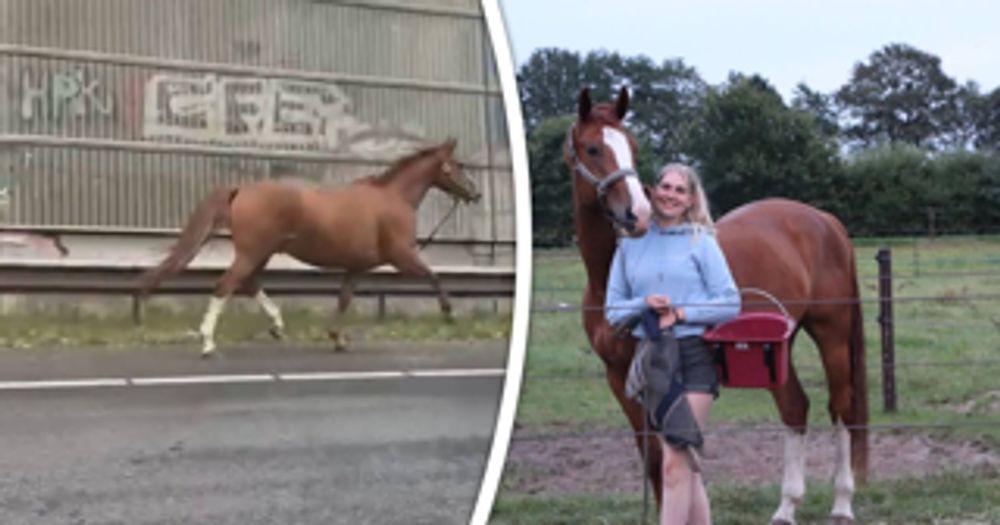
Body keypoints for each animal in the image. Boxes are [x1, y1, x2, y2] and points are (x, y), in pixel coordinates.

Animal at [138, 138, 480, 356]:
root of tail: (241, 190)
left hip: (261, 254)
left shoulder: (358, 266)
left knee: (248, 284)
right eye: (455, 166)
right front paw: (448, 314)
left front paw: (337, 338)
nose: (475, 194)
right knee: (226, 285)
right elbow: (434, 277)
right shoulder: (401, 256)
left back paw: (276, 326)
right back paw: (208, 342)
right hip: (252, 253)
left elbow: (344, 299)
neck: (393, 198)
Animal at [568, 87, 872, 524]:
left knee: (841, 408)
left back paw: (843, 503)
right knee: (796, 408)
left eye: (633, 147)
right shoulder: (620, 376)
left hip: (831, 334)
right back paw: (786, 507)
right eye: (593, 148)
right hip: (776, 347)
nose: (637, 214)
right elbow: (652, 456)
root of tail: (825, 220)